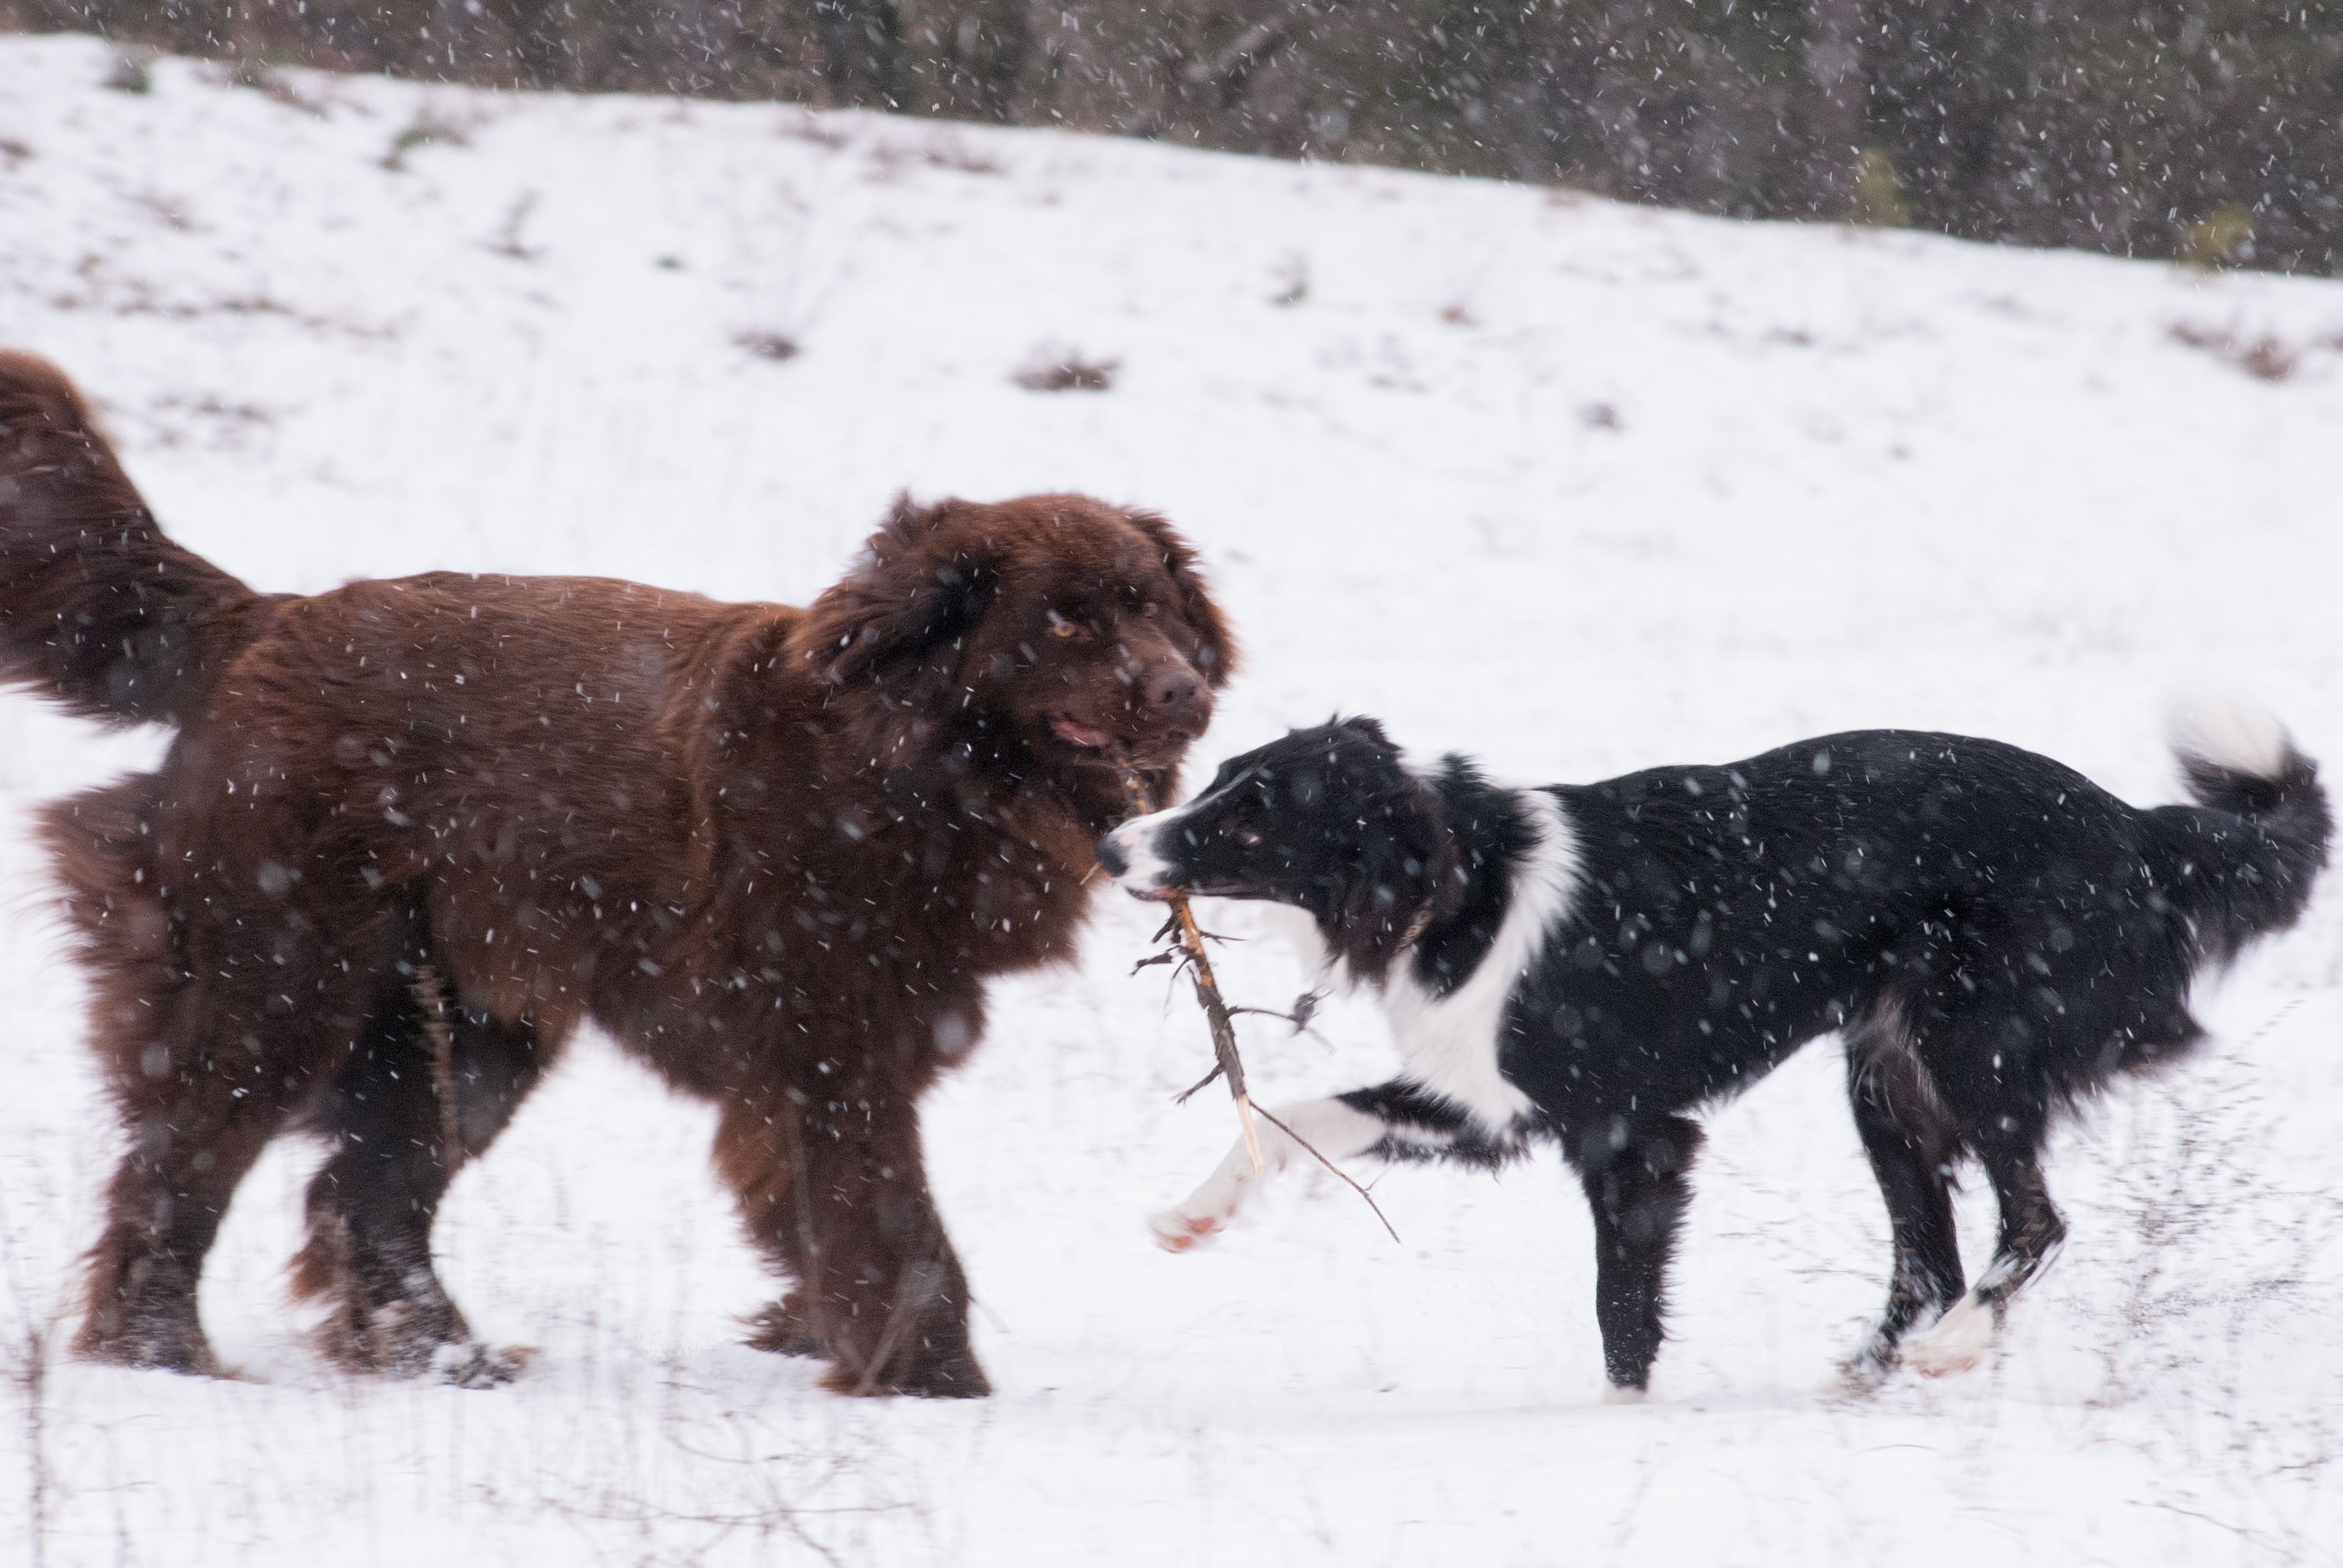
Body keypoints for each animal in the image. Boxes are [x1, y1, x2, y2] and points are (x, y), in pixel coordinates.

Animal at [0, 353, 1237, 1397]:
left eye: (1157, 608)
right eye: (1065, 621)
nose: (1183, 689)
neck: (908, 767)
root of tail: (268, 620)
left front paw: (814, 1331)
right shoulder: (833, 1034)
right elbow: (894, 1219)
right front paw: (932, 1379)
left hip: (469, 1021)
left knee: (361, 1190)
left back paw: (442, 1358)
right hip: (281, 966)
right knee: (183, 1158)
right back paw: (160, 1351)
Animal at [1091, 708, 2324, 1397]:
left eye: (1252, 812)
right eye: (1219, 778)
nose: (1110, 846)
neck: (1460, 882)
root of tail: (2143, 832)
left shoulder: (1630, 1135)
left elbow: (1622, 1314)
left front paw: (1626, 1434)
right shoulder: (1493, 1104)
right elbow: (1311, 1112)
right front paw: (1191, 1214)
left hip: (1972, 1041)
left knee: (2033, 1220)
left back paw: (1954, 1350)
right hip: (1885, 1078)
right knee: (1927, 1256)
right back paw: (1859, 1382)